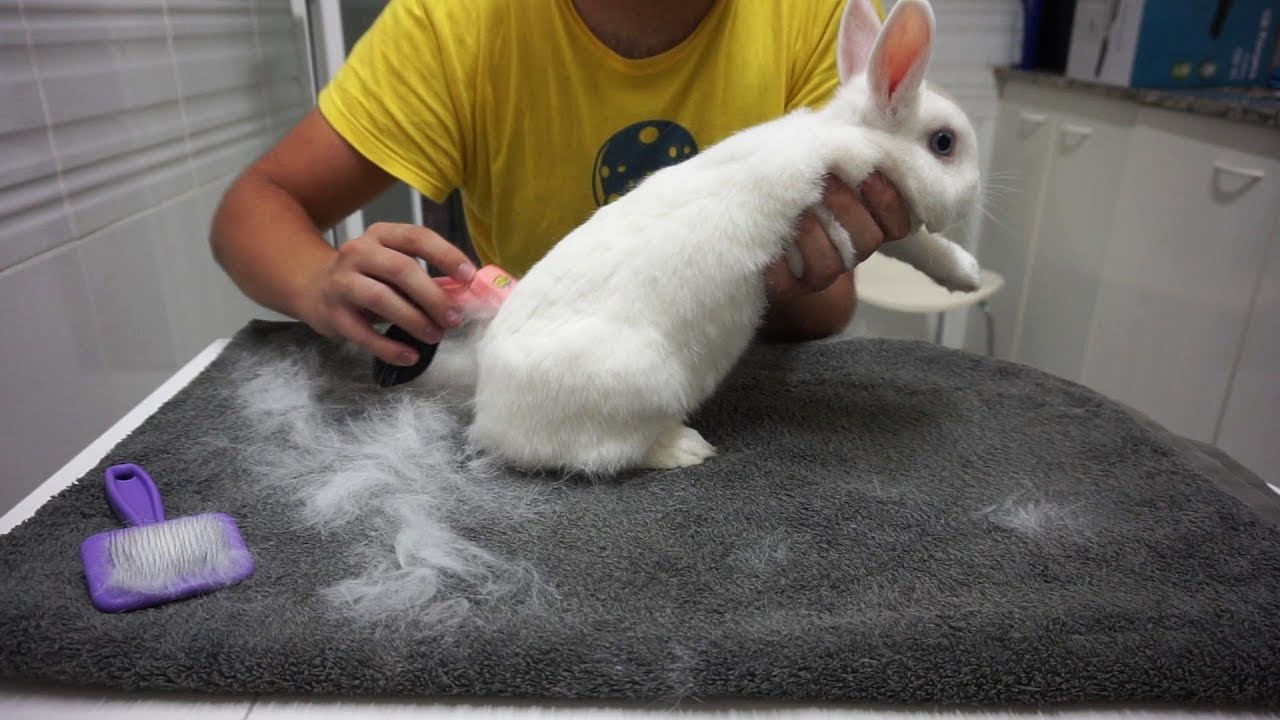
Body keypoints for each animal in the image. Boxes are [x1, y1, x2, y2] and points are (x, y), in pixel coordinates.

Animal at [447, 0, 983, 477]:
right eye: (944, 143)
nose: (976, 194)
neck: (860, 137)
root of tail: (492, 418)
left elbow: (910, 241)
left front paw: (966, 275)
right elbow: (907, 239)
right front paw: (967, 272)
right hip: (638, 388)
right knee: (601, 456)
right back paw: (685, 448)